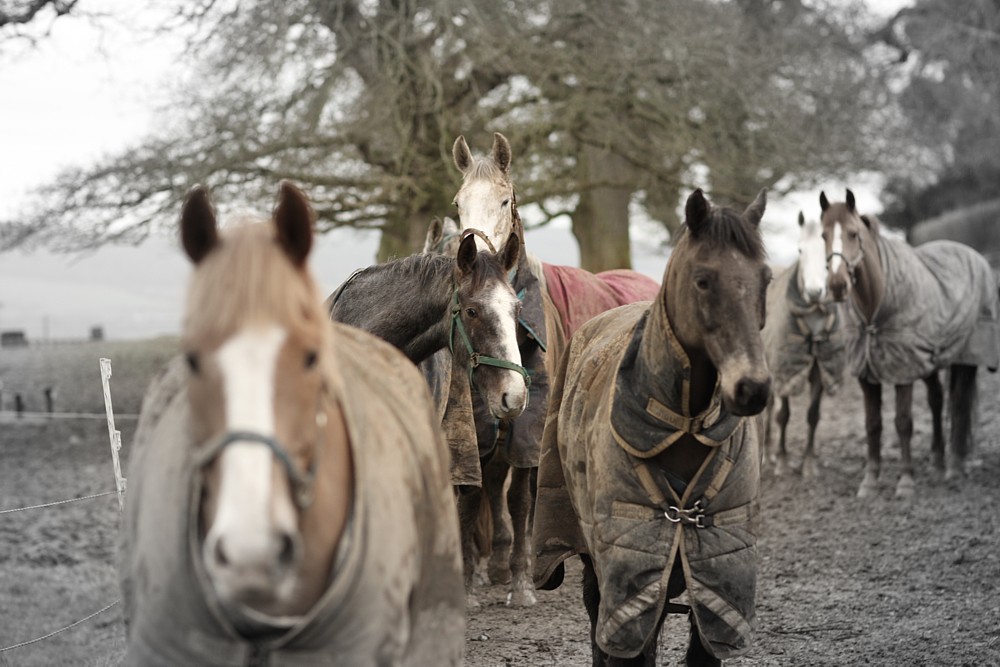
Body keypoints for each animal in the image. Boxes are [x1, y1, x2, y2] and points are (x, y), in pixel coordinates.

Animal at [532, 188, 772, 667]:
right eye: (703, 280)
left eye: (766, 279)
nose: (751, 388)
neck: (683, 426)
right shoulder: (628, 576)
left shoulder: (714, 575)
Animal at [820, 190, 1000, 498]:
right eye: (823, 235)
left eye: (853, 234)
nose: (837, 285)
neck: (875, 308)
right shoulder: (867, 375)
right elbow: (872, 425)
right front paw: (870, 481)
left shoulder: (903, 371)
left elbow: (903, 422)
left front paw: (905, 481)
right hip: (928, 361)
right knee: (936, 400)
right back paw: (938, 463)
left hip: (966, 359)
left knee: (958, 406)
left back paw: (954, 466)